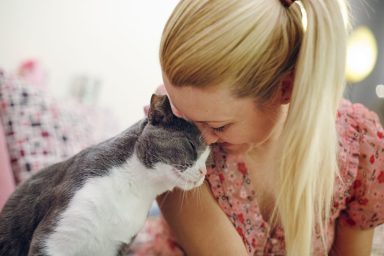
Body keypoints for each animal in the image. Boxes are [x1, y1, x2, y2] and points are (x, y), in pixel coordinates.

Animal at [0, 94, 210, 256]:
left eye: (207, 160)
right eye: (191, 146)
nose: (204, 172)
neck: (136, 191)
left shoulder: (115, 247)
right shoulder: (54, 239)